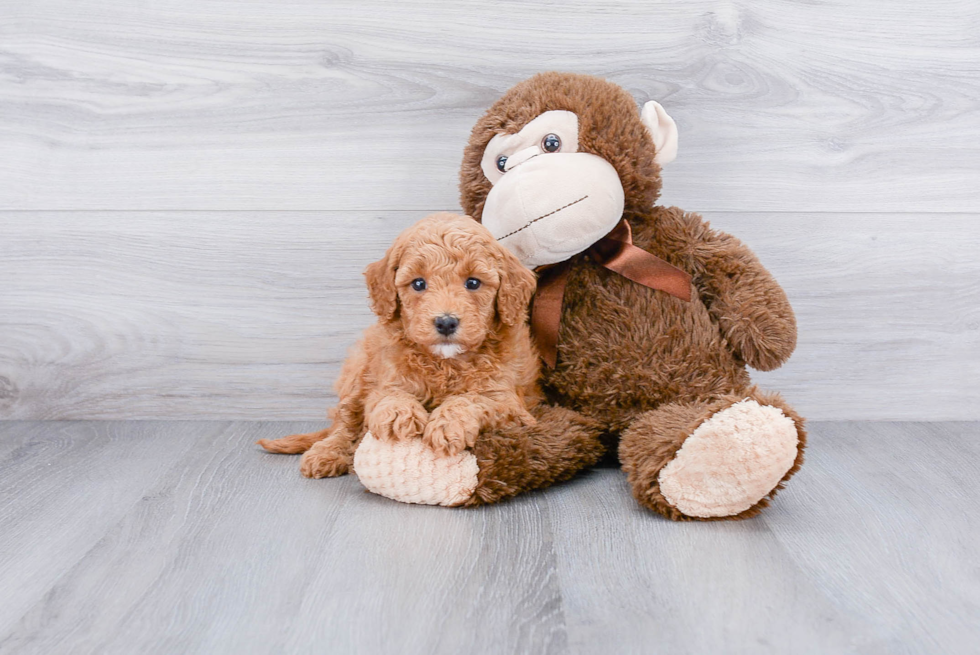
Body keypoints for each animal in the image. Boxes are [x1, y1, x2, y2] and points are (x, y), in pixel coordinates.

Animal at [256, 213, 540, 480]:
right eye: (418, 283)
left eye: (473, 283)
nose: (446, 322)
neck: (445, 363)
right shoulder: (385, 381)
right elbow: (388, 396)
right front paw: (398, 414)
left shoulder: (510, 404)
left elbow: (473, 399)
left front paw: (448, 424)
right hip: (358, 370)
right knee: (344, 423)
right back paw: (326, 453)